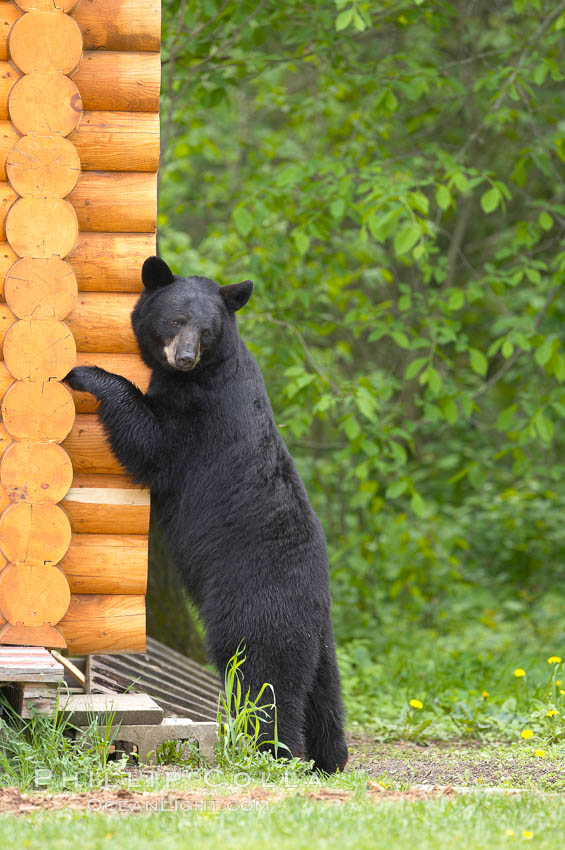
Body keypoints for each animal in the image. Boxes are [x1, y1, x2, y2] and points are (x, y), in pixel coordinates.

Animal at [66, 255, 348, 772]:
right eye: (176, 320)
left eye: (207, 329)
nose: (184, 356)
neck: (200, 374)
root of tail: (316, 601)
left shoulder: (198, 417)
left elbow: (150, 442)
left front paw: (87, 373)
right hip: (318, 641)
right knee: (323, 693)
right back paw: (329, 757)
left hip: (255, 608)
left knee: (264, 679)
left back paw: (268, 750)